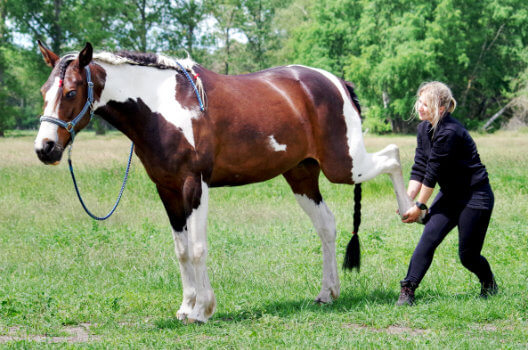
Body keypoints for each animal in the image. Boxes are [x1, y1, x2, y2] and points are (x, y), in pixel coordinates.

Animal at [35, 41, 414, 322]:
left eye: (71, 92)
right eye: (43, 91)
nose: (45, 148)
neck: (161, 107)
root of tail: (337, 83)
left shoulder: (195, 186)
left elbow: (198, 248)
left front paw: (203, 310)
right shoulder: (167, 190)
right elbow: (181, 250)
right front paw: (186, 307)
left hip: (345, 164)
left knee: (393, 157)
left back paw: (410, 210)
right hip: (302, 175)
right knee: (327, 226)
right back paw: (327, 293)